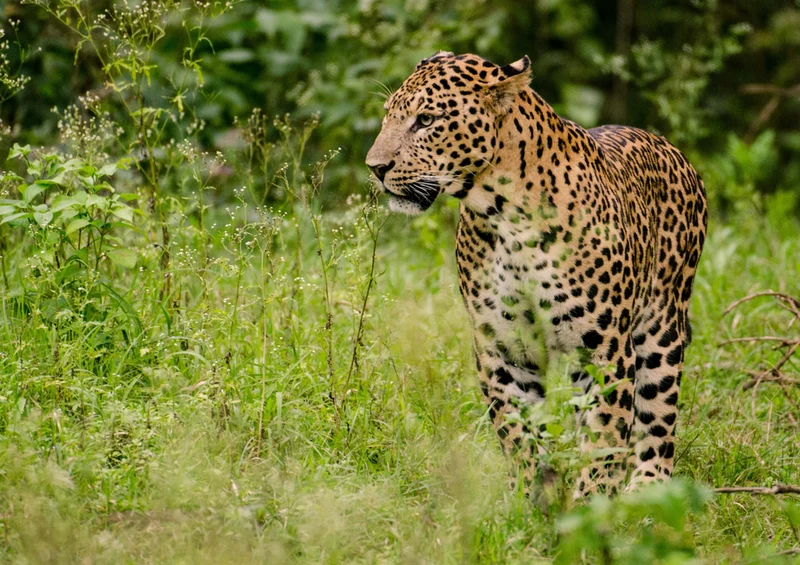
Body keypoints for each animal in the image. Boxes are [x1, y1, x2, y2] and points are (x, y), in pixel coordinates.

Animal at [366, 51, 707, 497]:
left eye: (426, 120)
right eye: (388, 115)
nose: (375, 167)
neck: (504, 216)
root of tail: (672, 149)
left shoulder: (605, 351)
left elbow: (603, 439)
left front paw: (588, 505)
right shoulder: (503, 348)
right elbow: (519, 433)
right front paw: (530, 500)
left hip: (661, 331)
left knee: (658, 423)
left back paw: (646, 491)